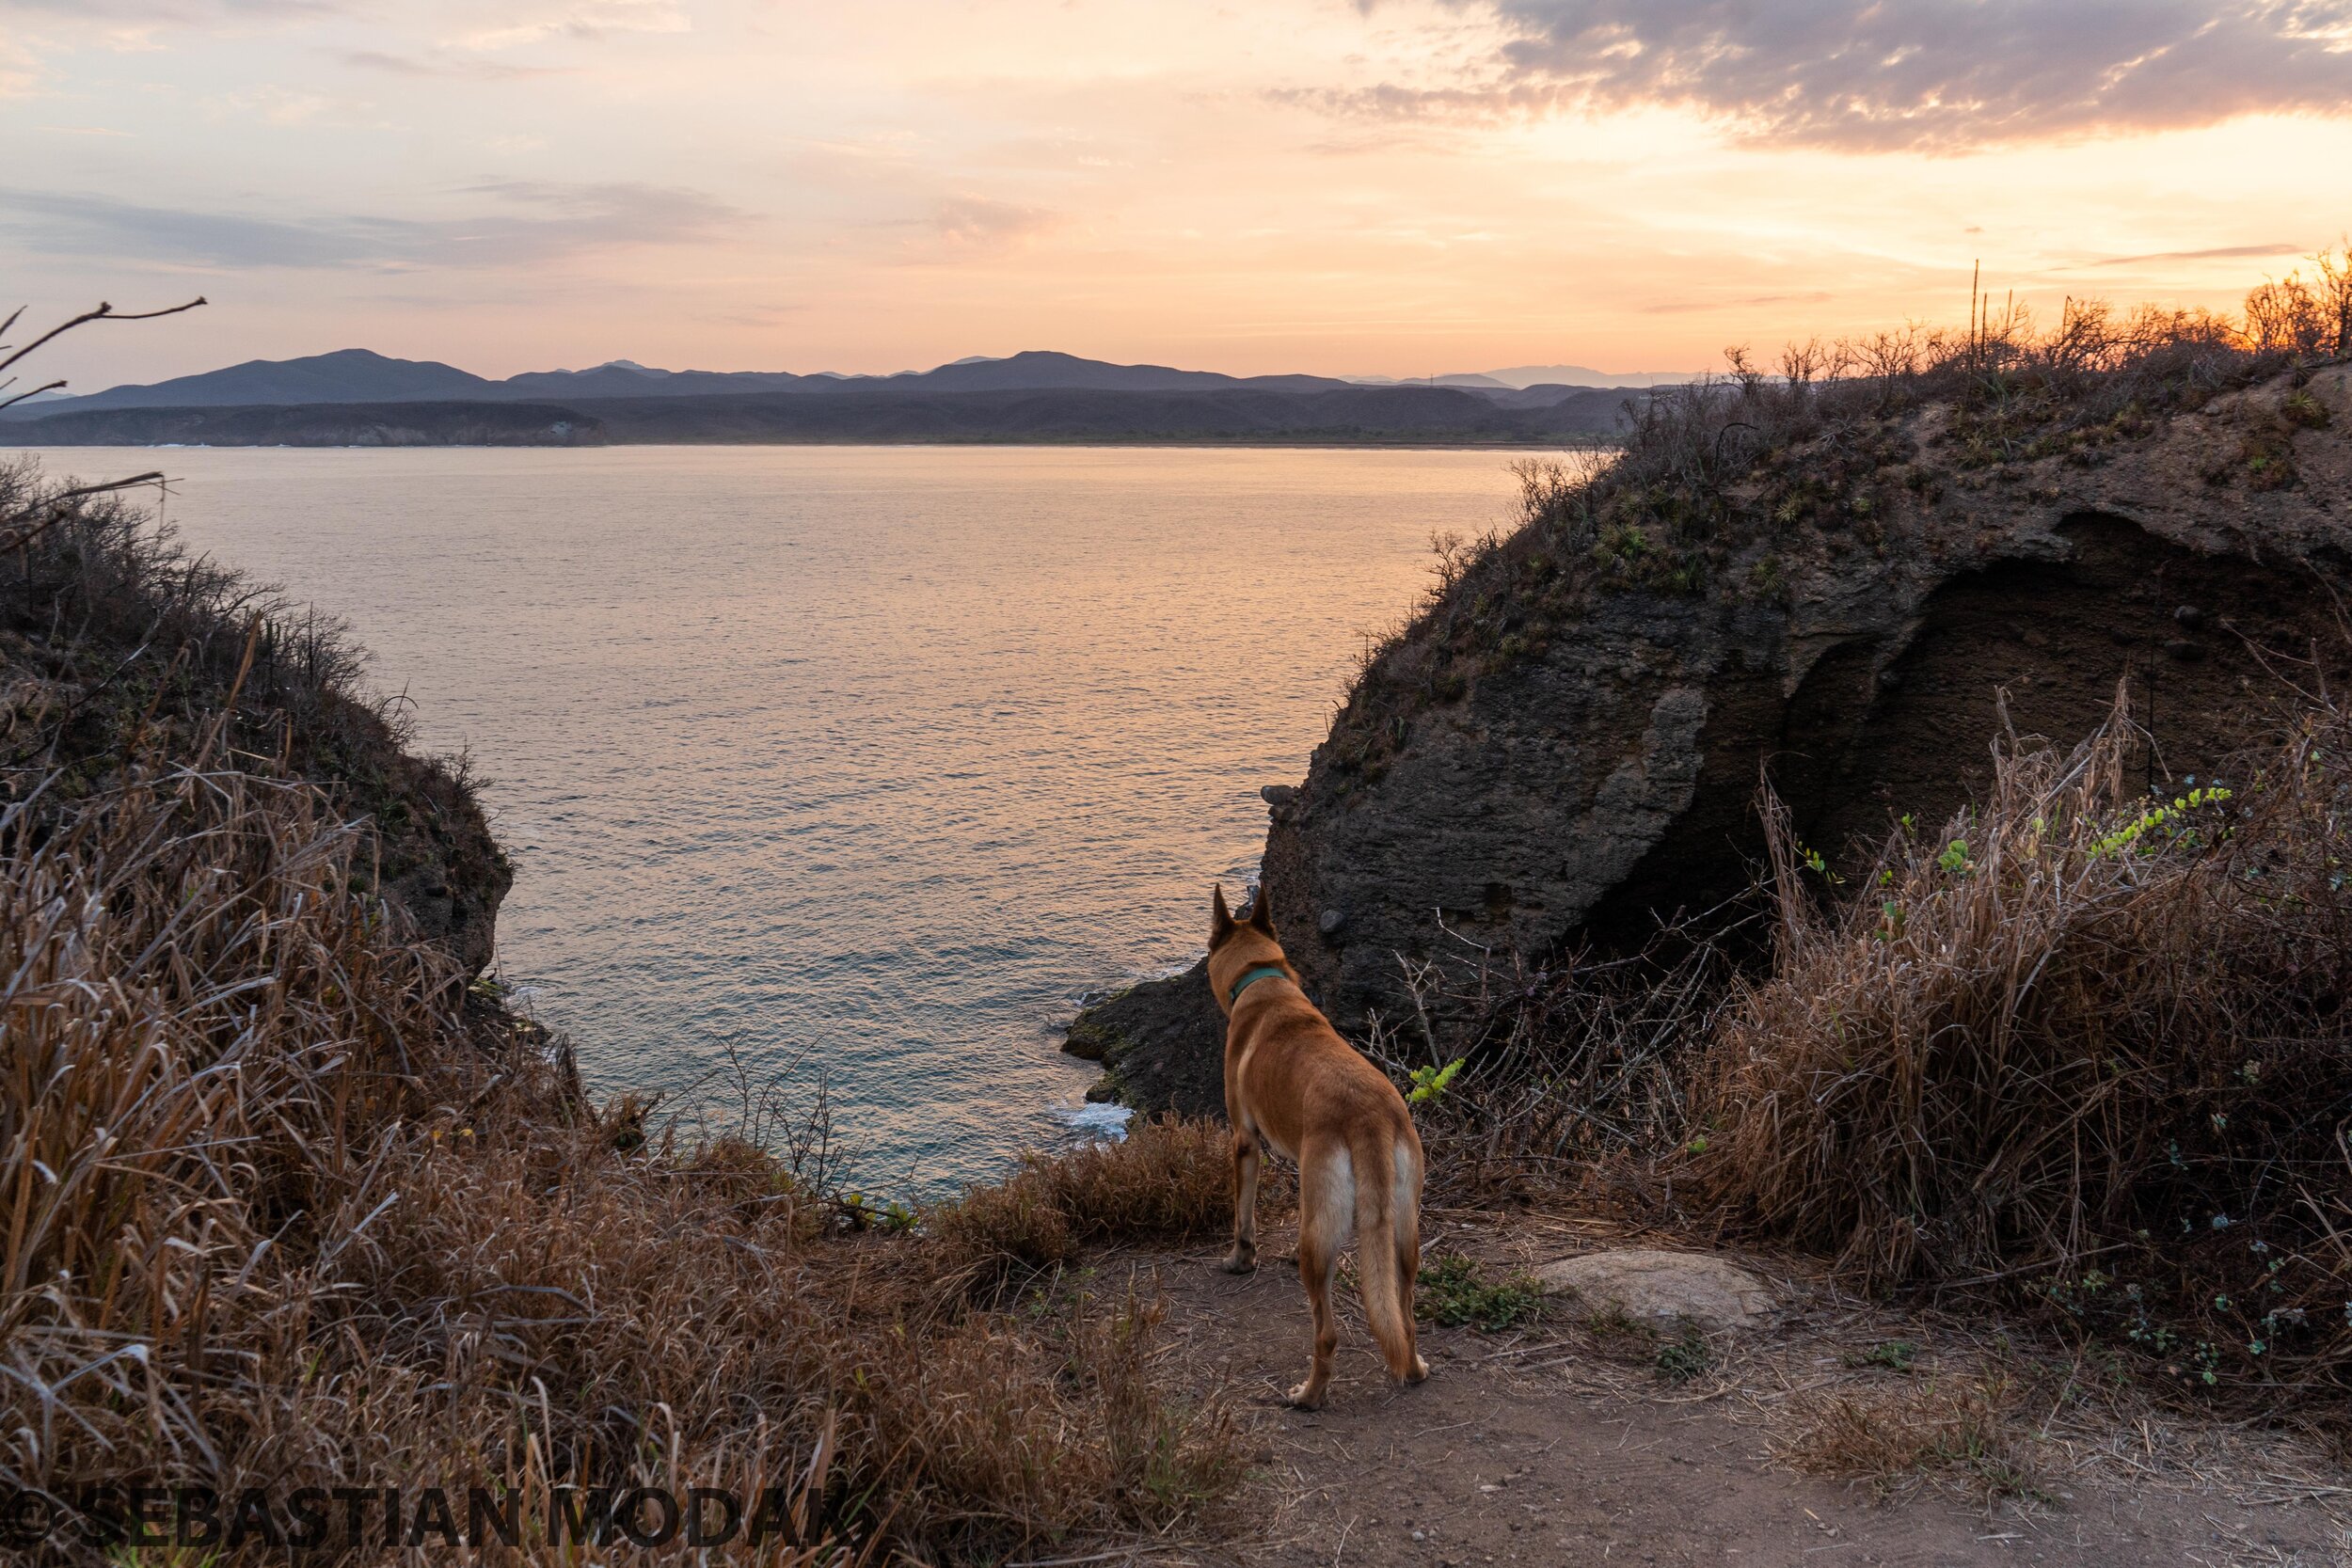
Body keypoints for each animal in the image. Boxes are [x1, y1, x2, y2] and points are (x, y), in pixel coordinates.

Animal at [1214, 883, 1430, 1410]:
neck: (1263, 983)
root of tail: (1370, 1115)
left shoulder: (1245, 1140)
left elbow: (1243, 1215)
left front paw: (1240, 1260)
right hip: (1403, 1228)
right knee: (1405, 1315)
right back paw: (1414, 1368)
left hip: (1325, 1247)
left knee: (1326, 1333)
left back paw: (1309, 1394)